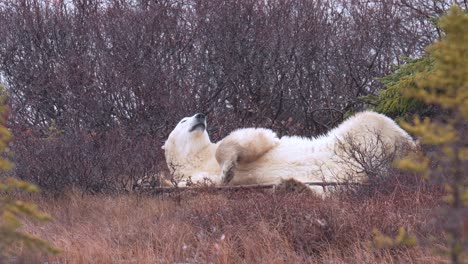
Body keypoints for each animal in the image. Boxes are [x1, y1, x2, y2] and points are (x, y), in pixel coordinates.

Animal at [162, 112, 416, 194]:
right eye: (183, 120)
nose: (200, 115)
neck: (198, 158)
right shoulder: (191, 176)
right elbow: (203, 183)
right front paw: (224, 176)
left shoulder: (253, 142)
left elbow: (250, 138)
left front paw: (228, 170)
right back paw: (292, 186)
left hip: (359, 133)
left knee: (373, 121)